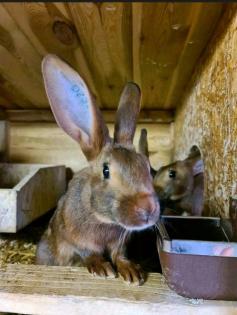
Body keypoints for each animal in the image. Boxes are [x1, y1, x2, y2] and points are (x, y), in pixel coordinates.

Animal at [36, 55, 160, 286]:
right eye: (106, 171)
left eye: (147, 168)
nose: (148, 209)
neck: (101, 217)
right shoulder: (75, 239)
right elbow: (89, 253)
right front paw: (102, 268)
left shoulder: (119, 244)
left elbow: (119, 255)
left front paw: (131, 273)